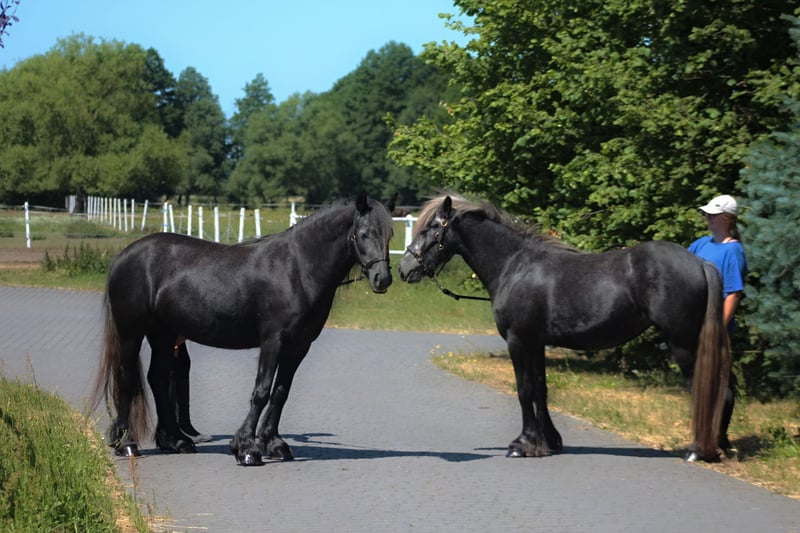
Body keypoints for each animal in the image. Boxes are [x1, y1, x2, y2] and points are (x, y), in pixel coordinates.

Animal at [92, 193, 394, 466]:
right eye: (364, 233)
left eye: (390, 234)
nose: (382, 279)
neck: (296, 268)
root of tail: (124, 255)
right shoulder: (273, 341)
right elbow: (261, 391)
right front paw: (247, 448)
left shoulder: (299, 346)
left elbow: (281, 392)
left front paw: (274, 444)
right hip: (131, 333)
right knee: (126, 378)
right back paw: (127, 444)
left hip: (163, 335)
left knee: (158, 378)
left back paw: (177, 441)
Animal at [398, 194, 733, 462]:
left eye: (431, 227)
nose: (404, 268)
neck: (515, 265)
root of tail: (701, 263)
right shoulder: (536, 343)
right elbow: (540, 389)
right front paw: (549, 441)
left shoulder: (518, 341)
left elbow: (524, 389)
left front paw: (522, 444)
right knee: (725, 393)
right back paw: (720, 448)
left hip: (684, 344)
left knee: (708, 391)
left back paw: (698, 450)